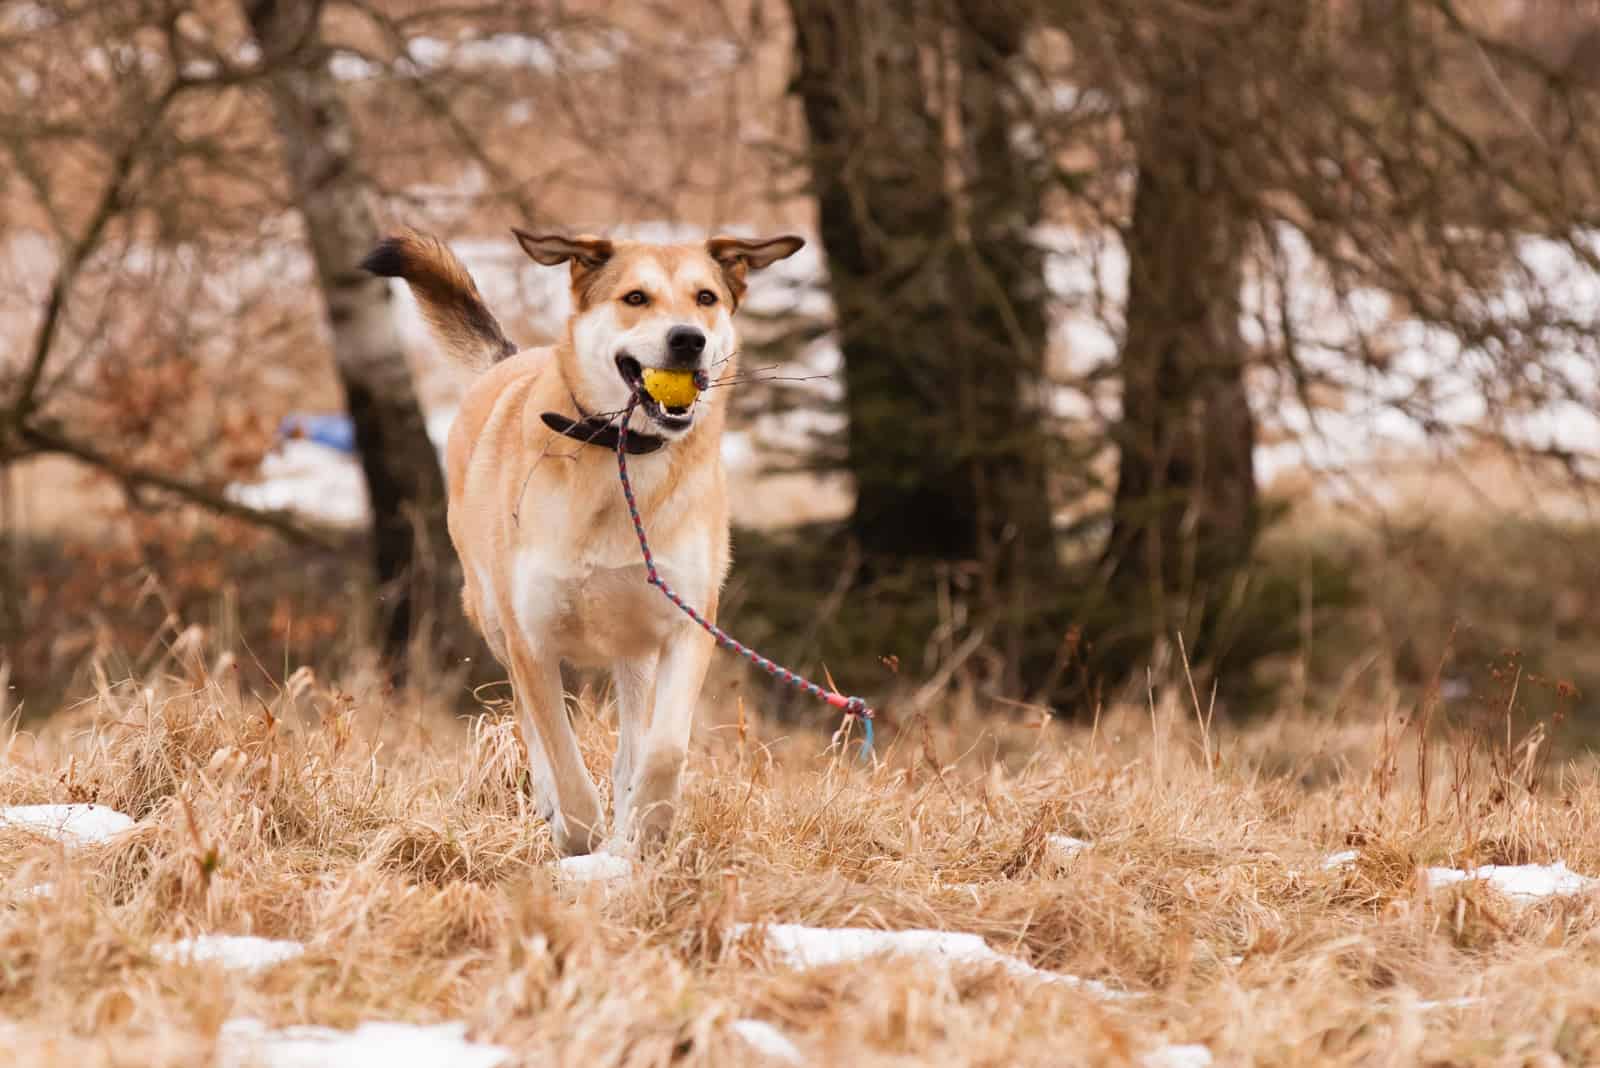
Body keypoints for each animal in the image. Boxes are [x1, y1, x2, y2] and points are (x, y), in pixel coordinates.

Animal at [368, 230, 806, 856]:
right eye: (635, 297)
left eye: (705, 297)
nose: (688, 340)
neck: (623, 455)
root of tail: (511, 358)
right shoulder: (531, 639)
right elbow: (561, 752)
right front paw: (578, 837)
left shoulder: (688, 623)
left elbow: (664, 747)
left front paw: (648, 825)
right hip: (492, 617)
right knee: (530, 723)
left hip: (636, 648)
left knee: (632, 734)